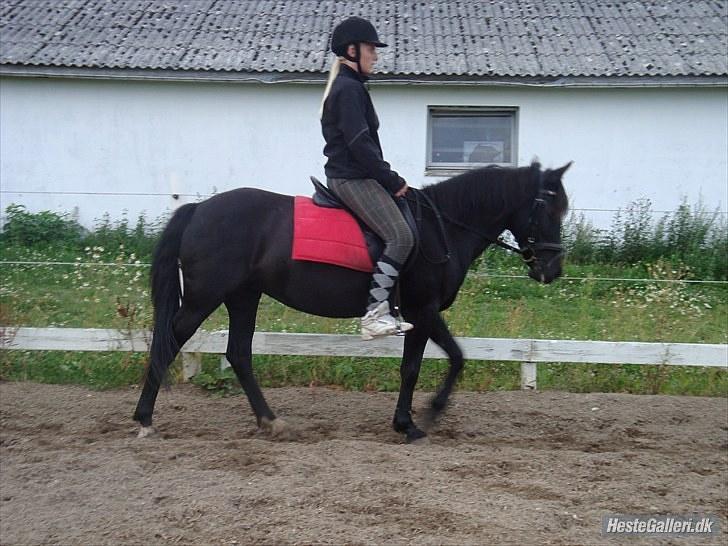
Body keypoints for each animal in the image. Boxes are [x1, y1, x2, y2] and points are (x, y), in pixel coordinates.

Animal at [133, 160, 571, 443]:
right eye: (550, 208)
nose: (552, 269)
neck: (442, 226)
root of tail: (197, 210)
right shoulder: (423, 310)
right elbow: (427, 364)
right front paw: (417, 420)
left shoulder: (421, 314)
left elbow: (436, 362)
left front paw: (418, 416)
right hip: (205, 297)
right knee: (169, 342)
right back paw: (144, 420)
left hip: (243, 296)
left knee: (238, 353)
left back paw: (271, 422)